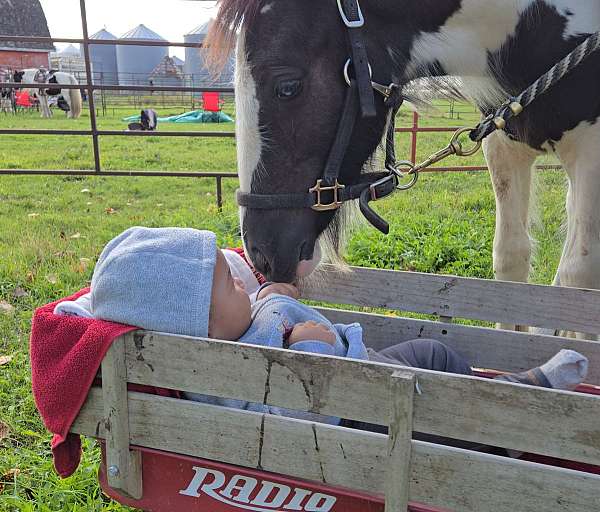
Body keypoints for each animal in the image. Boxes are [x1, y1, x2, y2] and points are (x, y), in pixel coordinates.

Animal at [206, 2, 600, 336]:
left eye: (287, 86)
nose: (260, 254)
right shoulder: (504, 143)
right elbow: (511, 257)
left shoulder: (591, 150)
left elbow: (581, 276)